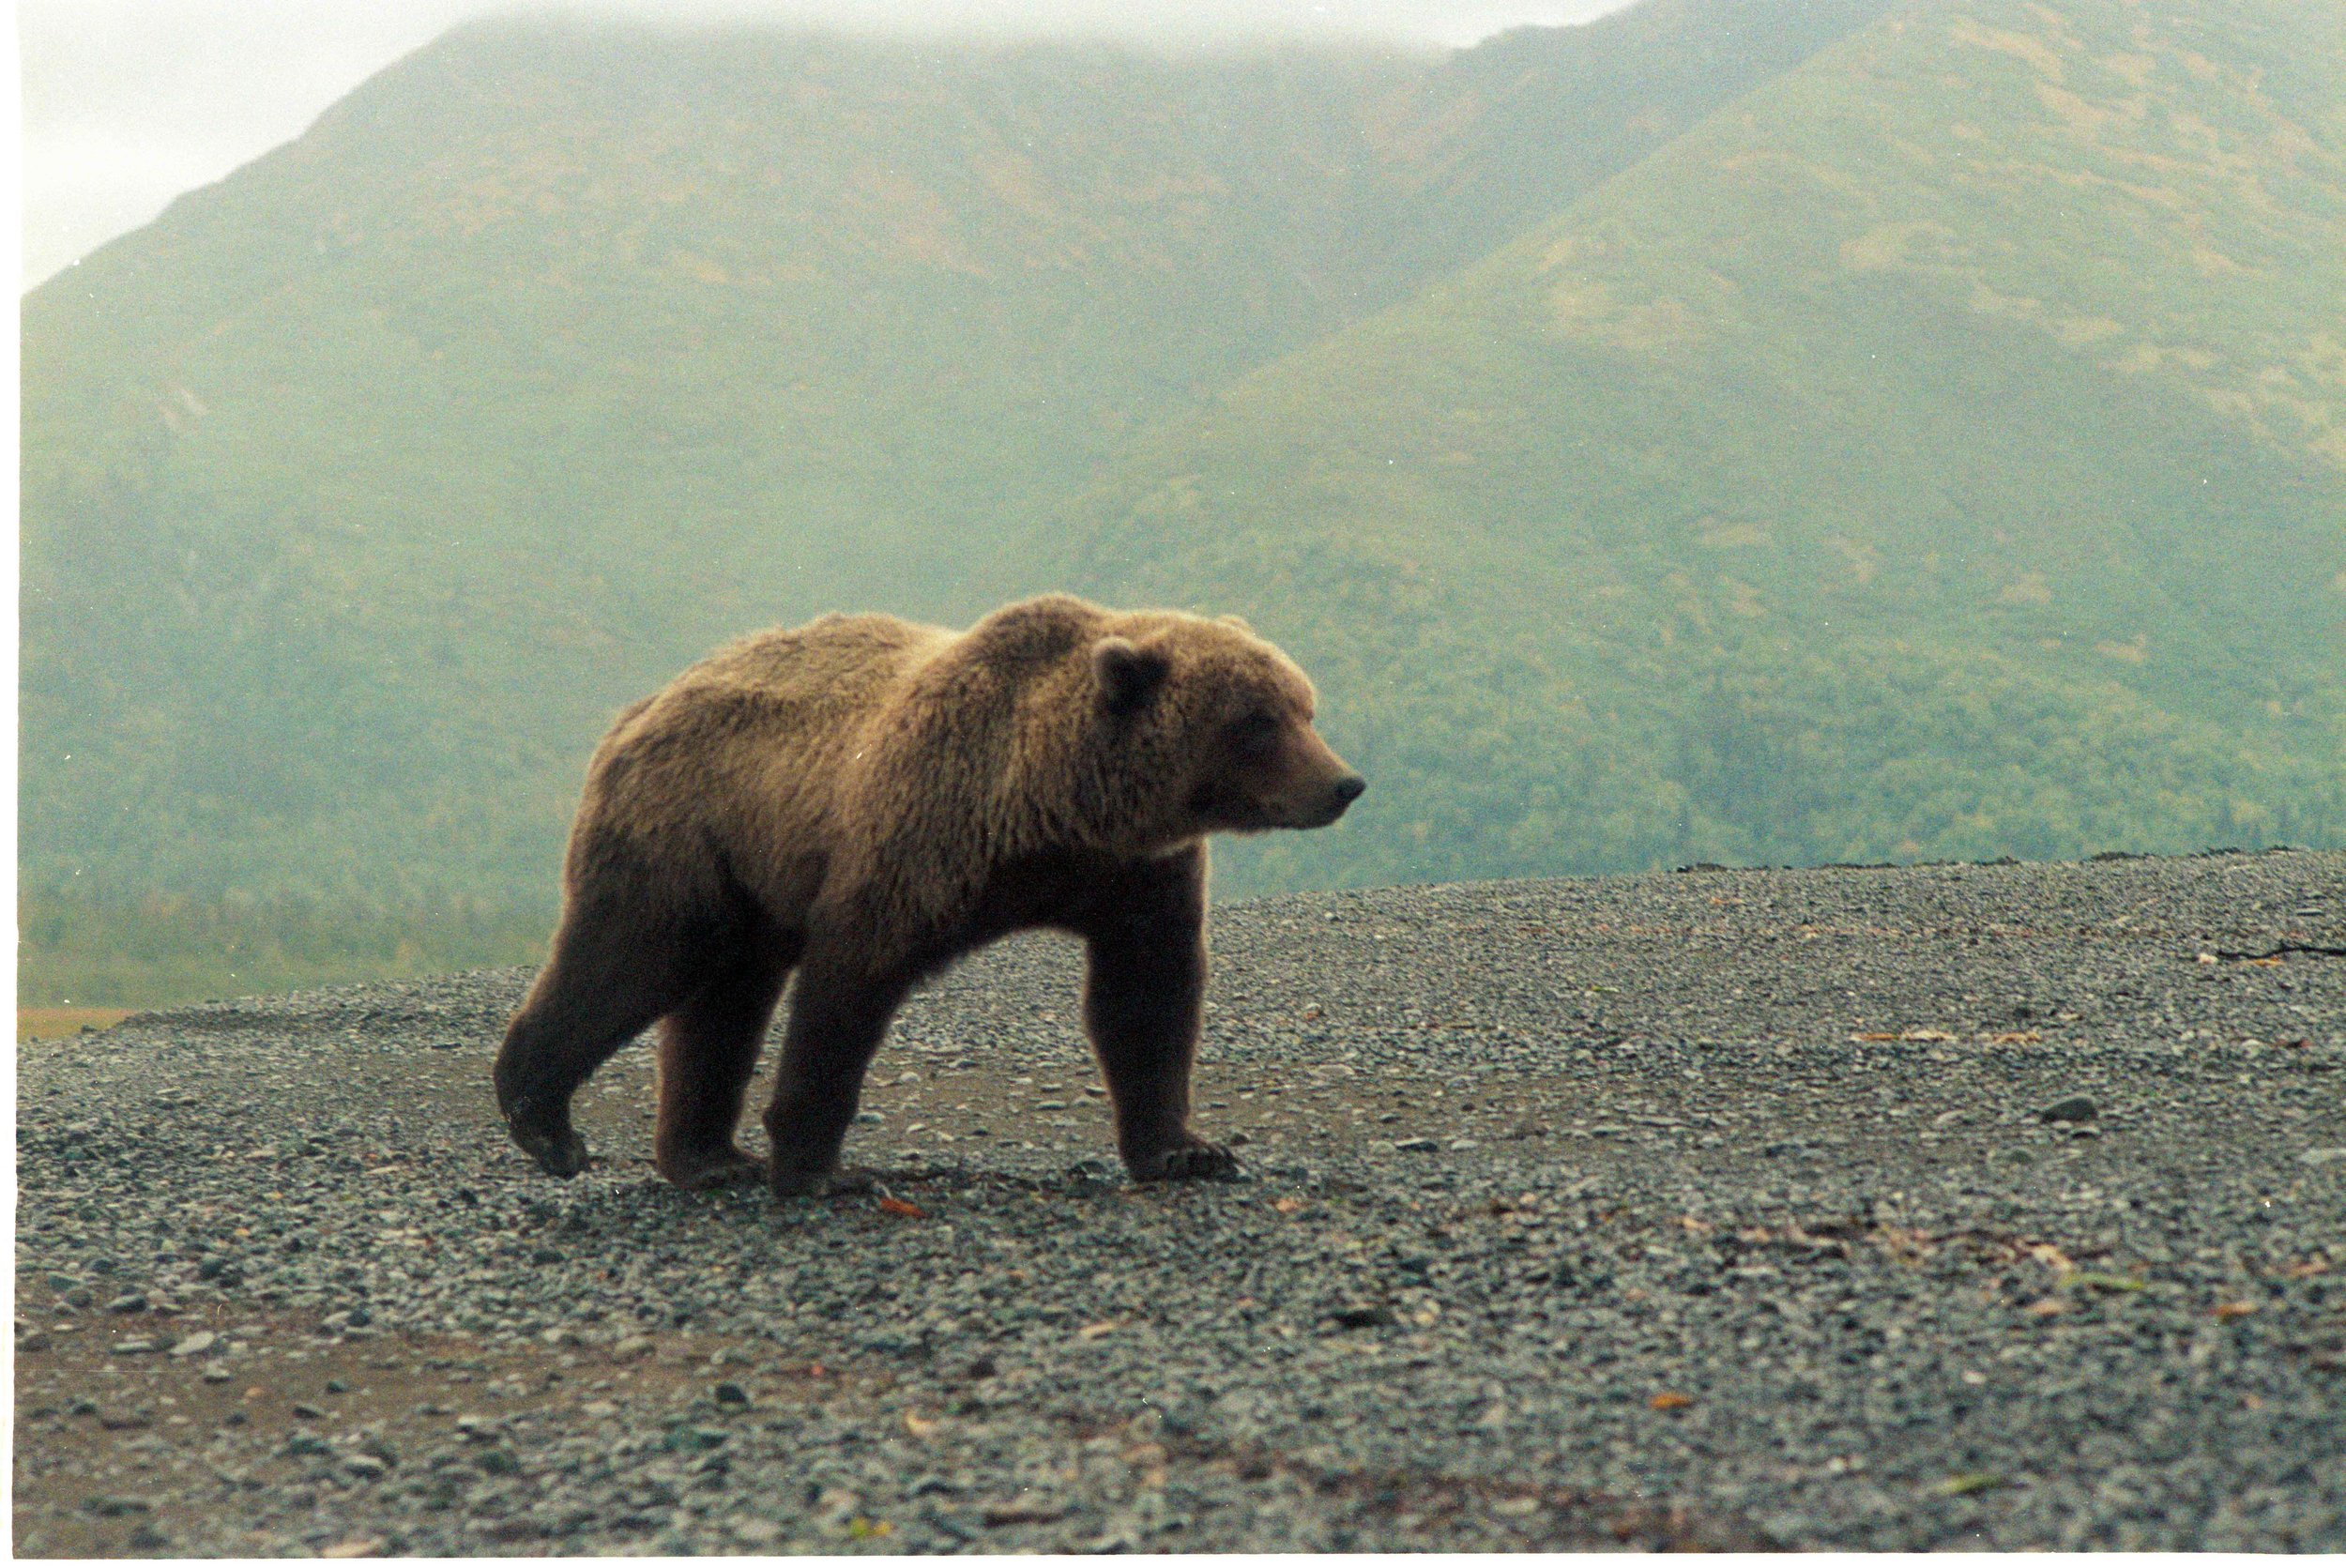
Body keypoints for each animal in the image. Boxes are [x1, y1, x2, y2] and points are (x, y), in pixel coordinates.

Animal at [495, 593, 1370, 1192]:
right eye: (1258, 720)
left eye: (1305, 705)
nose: (1343, 783)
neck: (1050, 802)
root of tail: (644, 703)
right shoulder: (919, 836)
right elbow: (848, 985)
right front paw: (819, 1163)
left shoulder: (1131, 873)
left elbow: (1147, 995)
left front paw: (1186, 1147)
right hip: (687, 833)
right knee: (632, 958)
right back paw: (546, 1122)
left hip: (748, 875)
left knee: (724, 1002)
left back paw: (709, 1156)